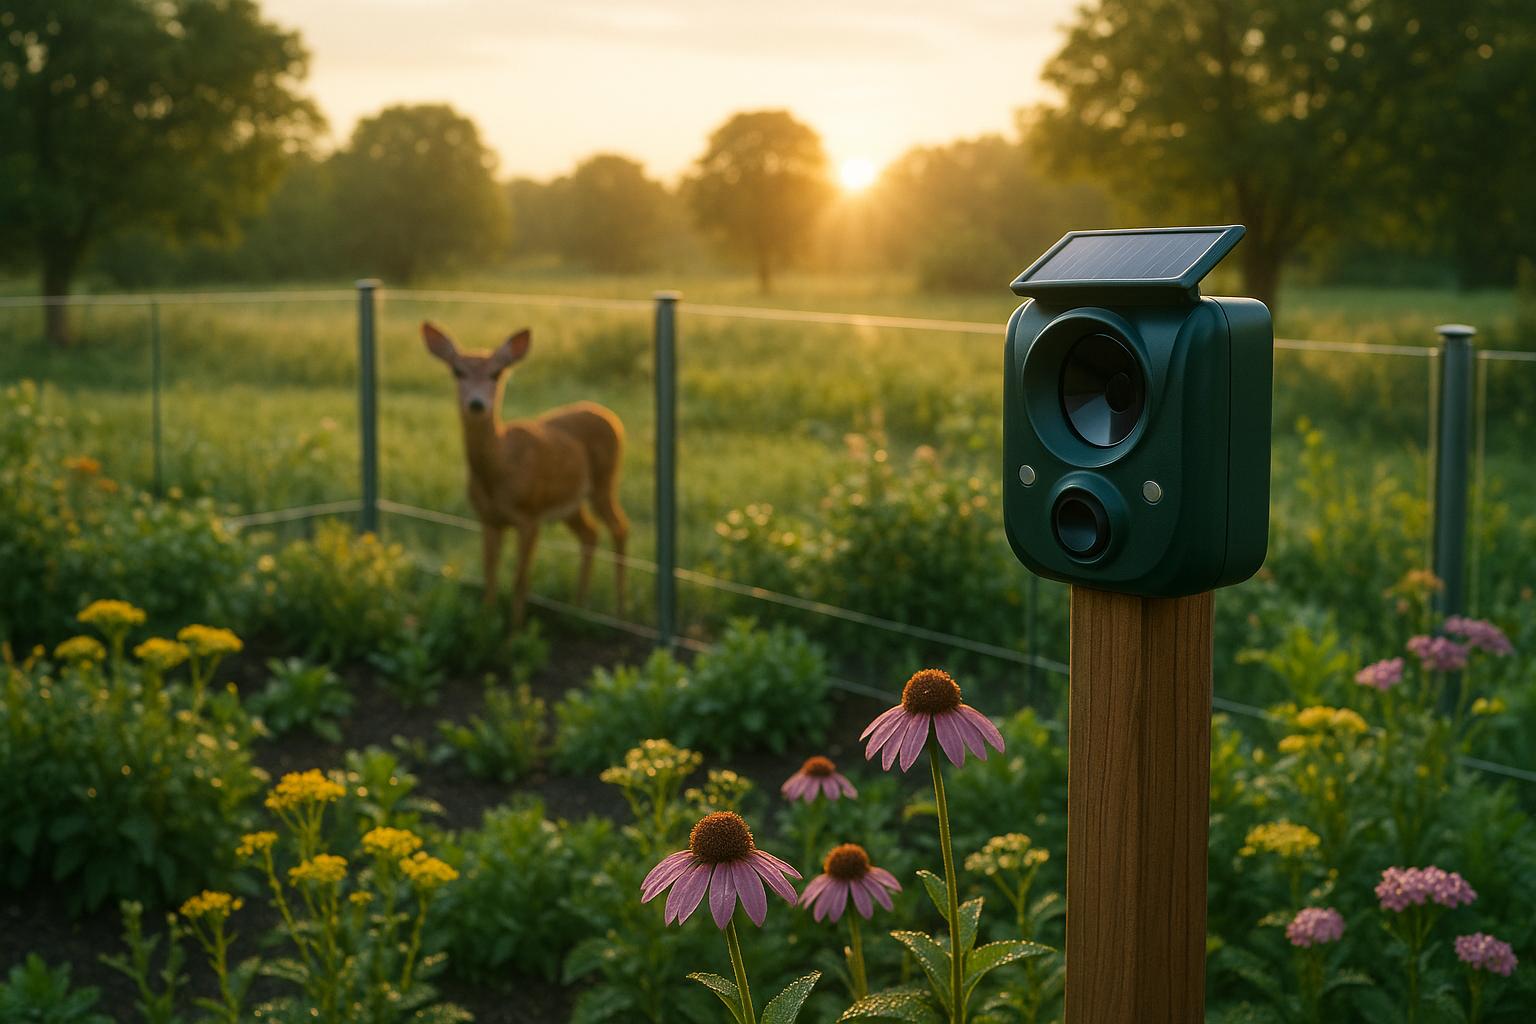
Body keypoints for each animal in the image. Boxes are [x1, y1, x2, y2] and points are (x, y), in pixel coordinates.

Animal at [422, 321, 628, 629]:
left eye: (497, 373)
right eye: (457, 371)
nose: (476, 404)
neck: (499, 471)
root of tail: (609, 415)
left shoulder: (530, 516)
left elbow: (521, 579)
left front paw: (514, 631)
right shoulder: (488, 519)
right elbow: (490, 574)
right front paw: (486, 622)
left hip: (604, 482)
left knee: (619, 528)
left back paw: (619, 610)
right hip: (571, 502)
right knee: (590, 533)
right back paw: (579, 606)